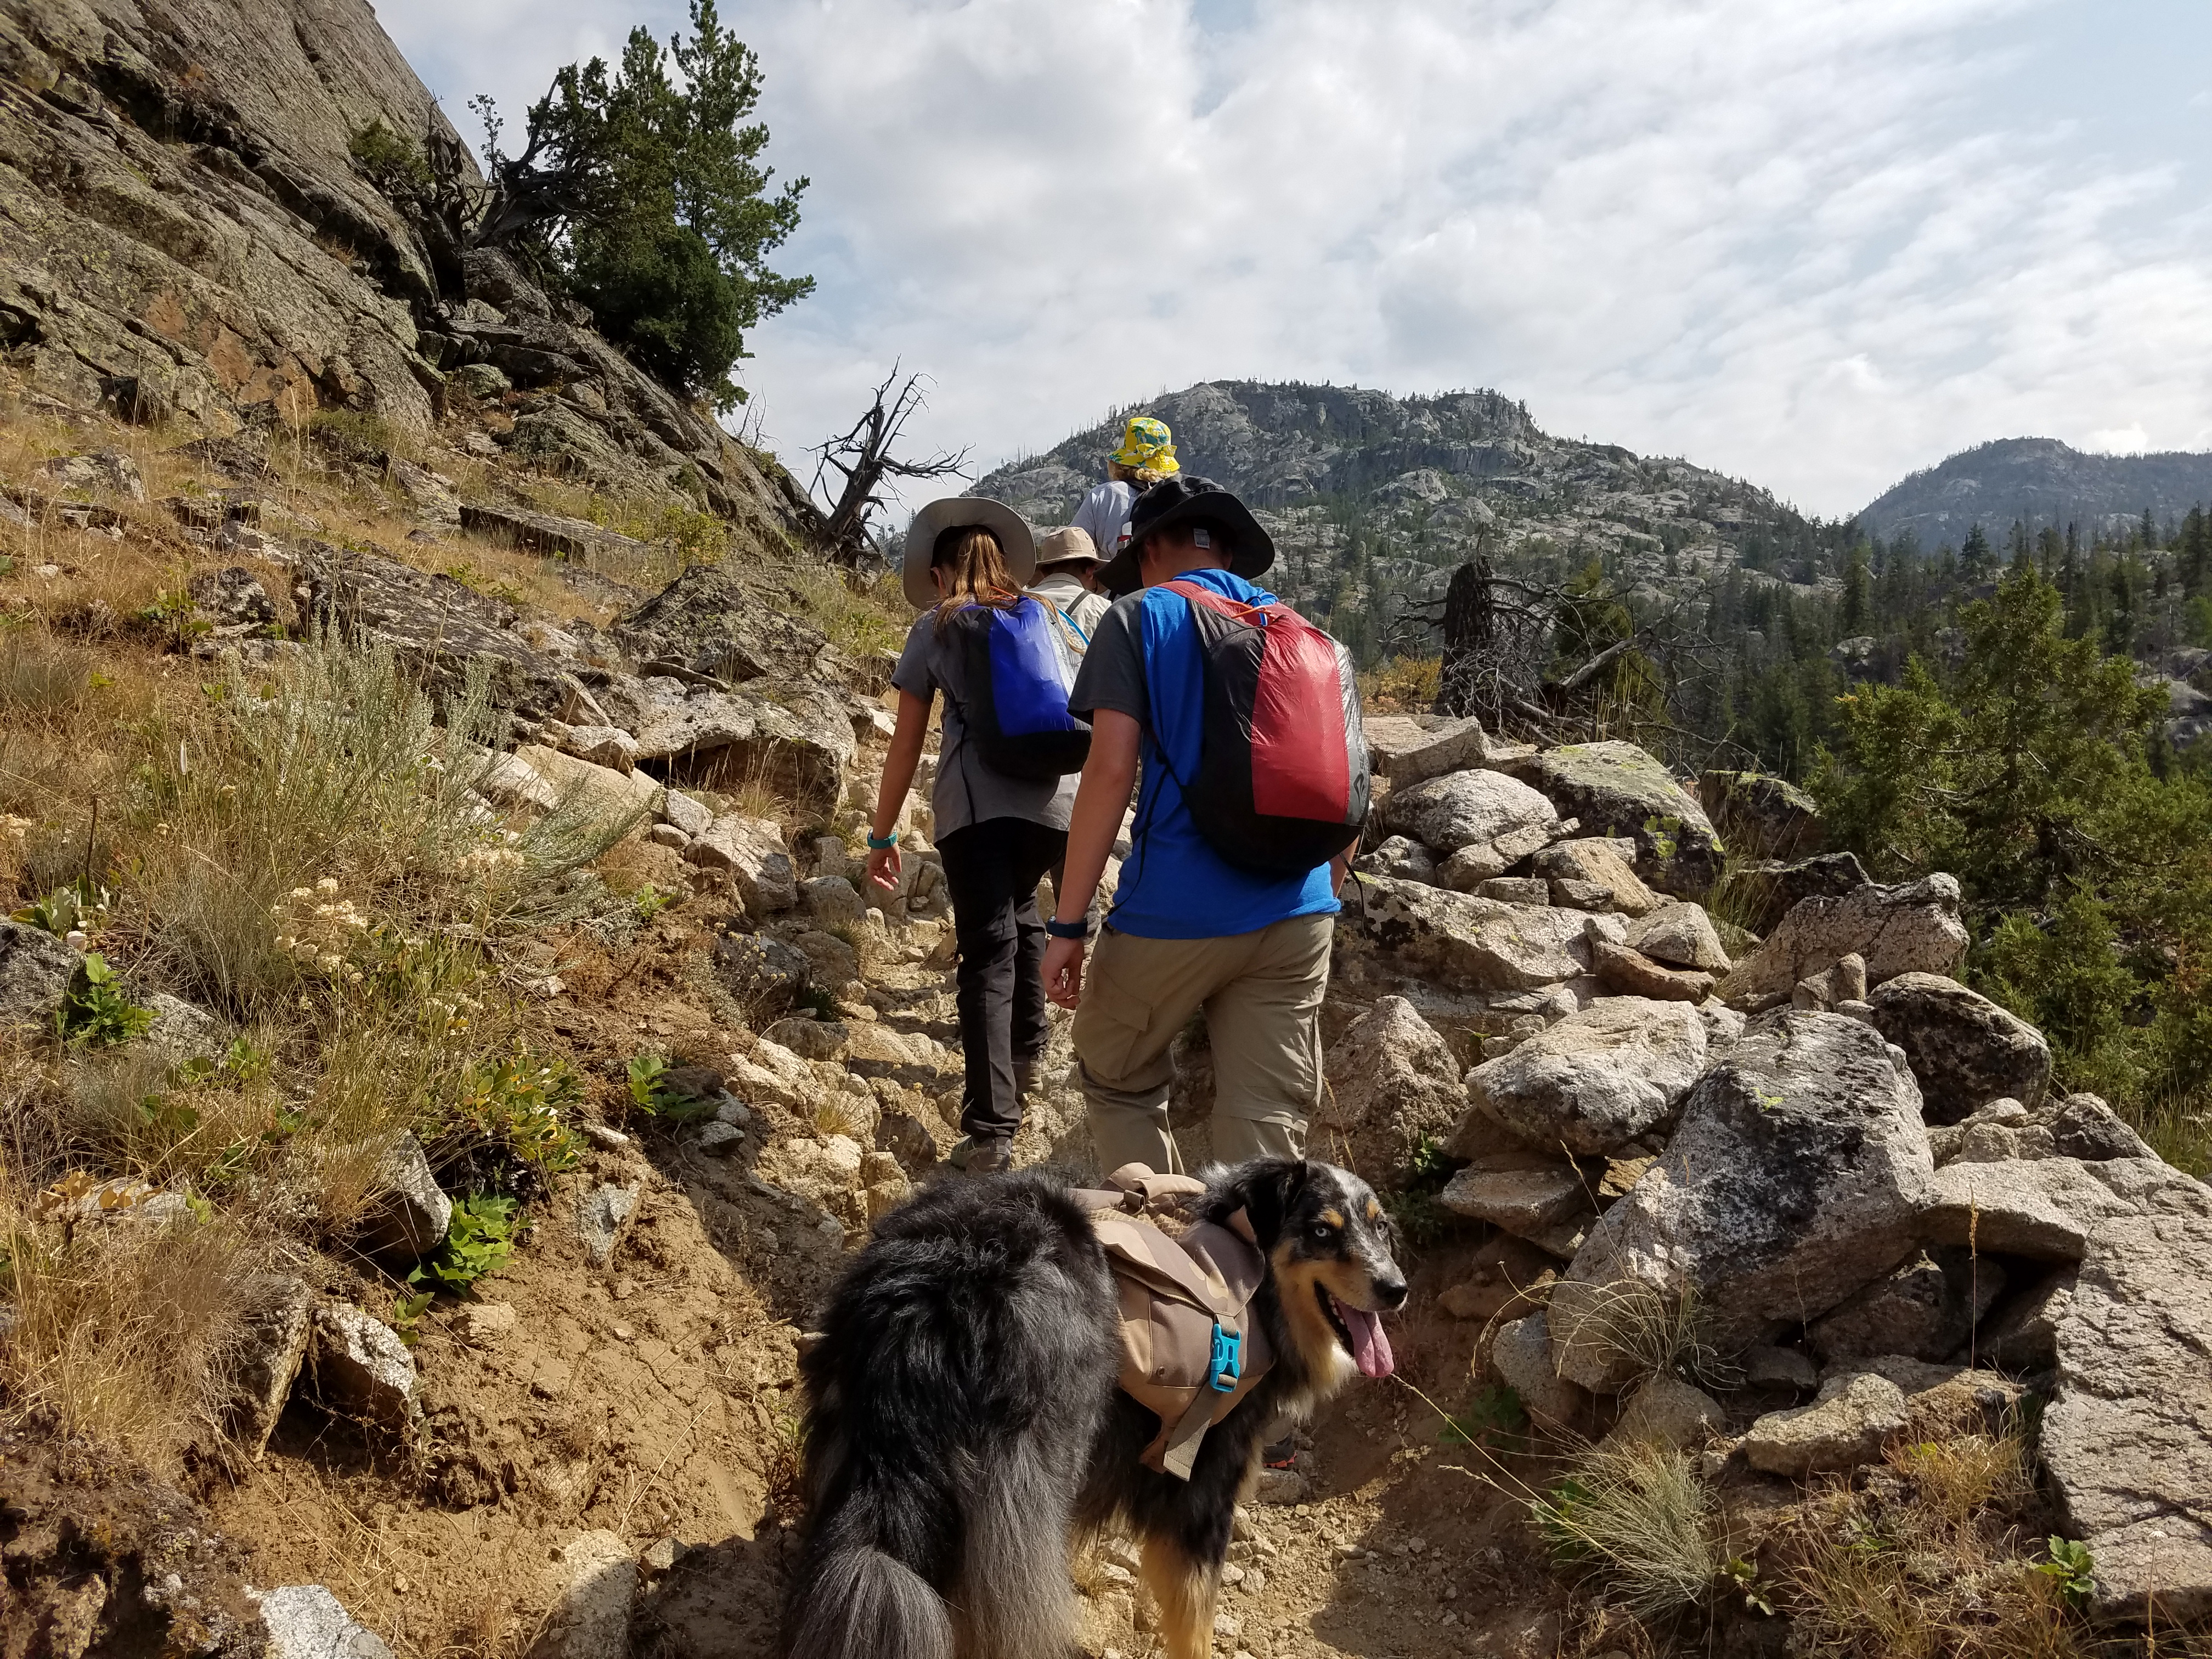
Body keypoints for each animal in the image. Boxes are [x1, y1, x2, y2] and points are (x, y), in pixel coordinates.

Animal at [787, 1159, 1407, 1659]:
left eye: (1380, 1227)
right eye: (1322, 1231)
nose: (1396, 1289)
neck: (1258, 1284)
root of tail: (929, 1287)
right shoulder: (1205, 1488)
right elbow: (1194, 1622)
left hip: (850, 1436)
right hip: (1033, 1474)